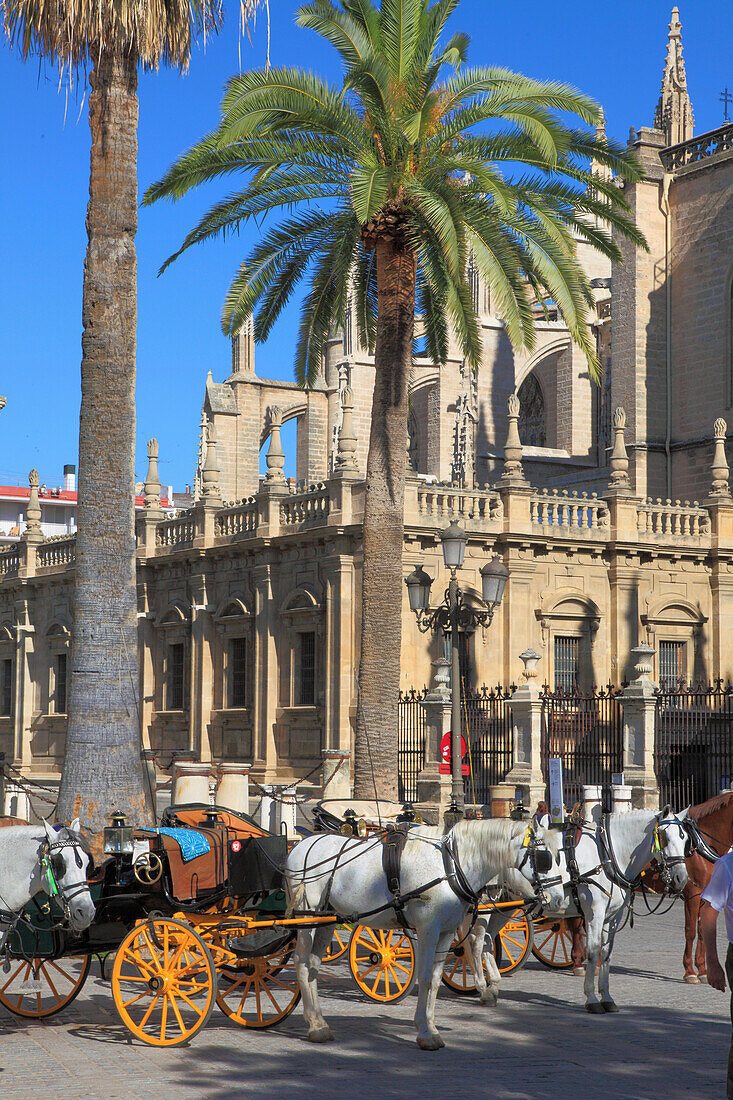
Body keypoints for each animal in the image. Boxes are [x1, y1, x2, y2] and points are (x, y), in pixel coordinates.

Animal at [283, 818, 563, 1047]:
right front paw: (425, 1032)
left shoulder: (446, 932)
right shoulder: (428, 929)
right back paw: (314, 1027)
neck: (451, 865)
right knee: (301, 963)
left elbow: (436, 980)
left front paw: (430, 1027)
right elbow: (426, 978)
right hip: (306, 917)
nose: (559, 899)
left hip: (327, 919)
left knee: (313, 964)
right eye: (544, 857)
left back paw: (320, 1022)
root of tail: (301, 844)